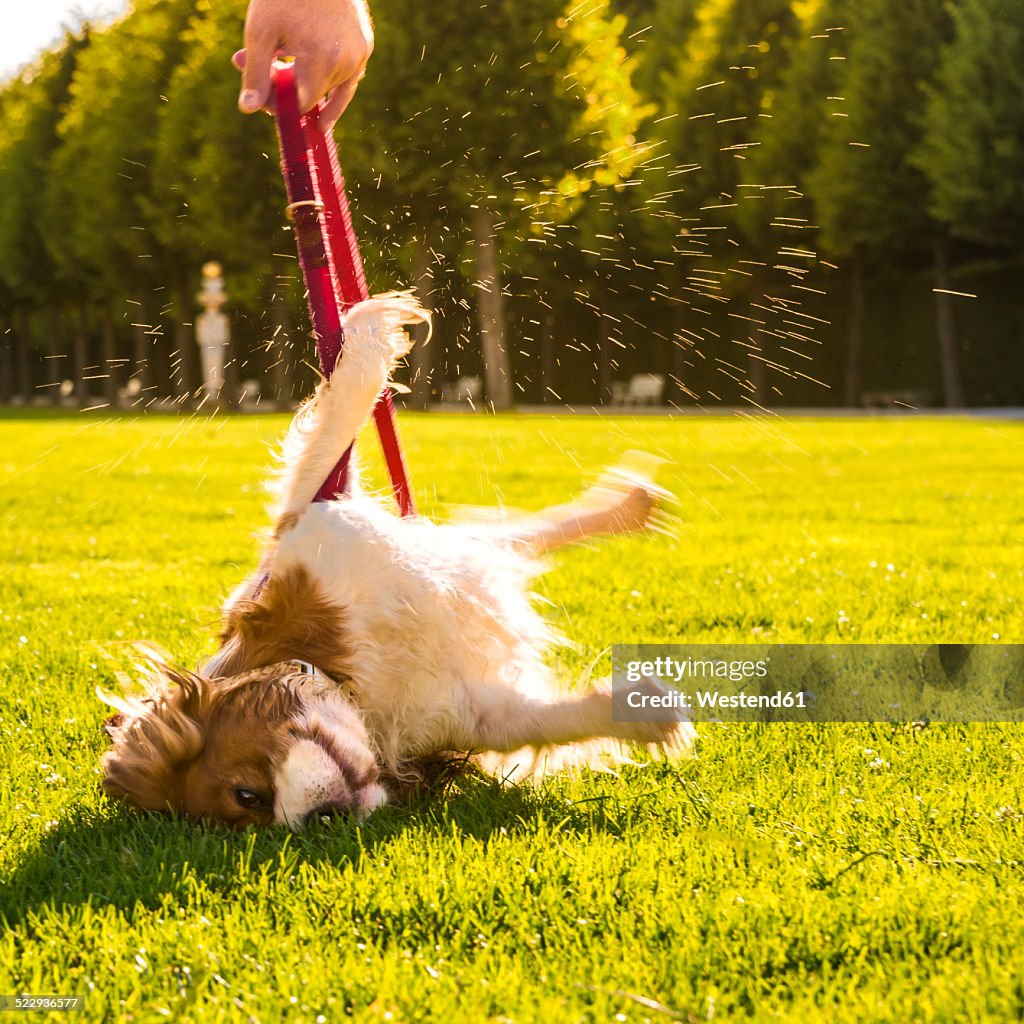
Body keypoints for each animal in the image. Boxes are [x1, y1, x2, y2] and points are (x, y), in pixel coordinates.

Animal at [101, 292, 696, 827]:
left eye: (247, 794)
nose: (321, 818)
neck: (355, 680)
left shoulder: (312, 520)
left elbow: (339, 418)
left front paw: (366, 330)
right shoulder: (481, 718)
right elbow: (552, 722)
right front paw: (649, 713)